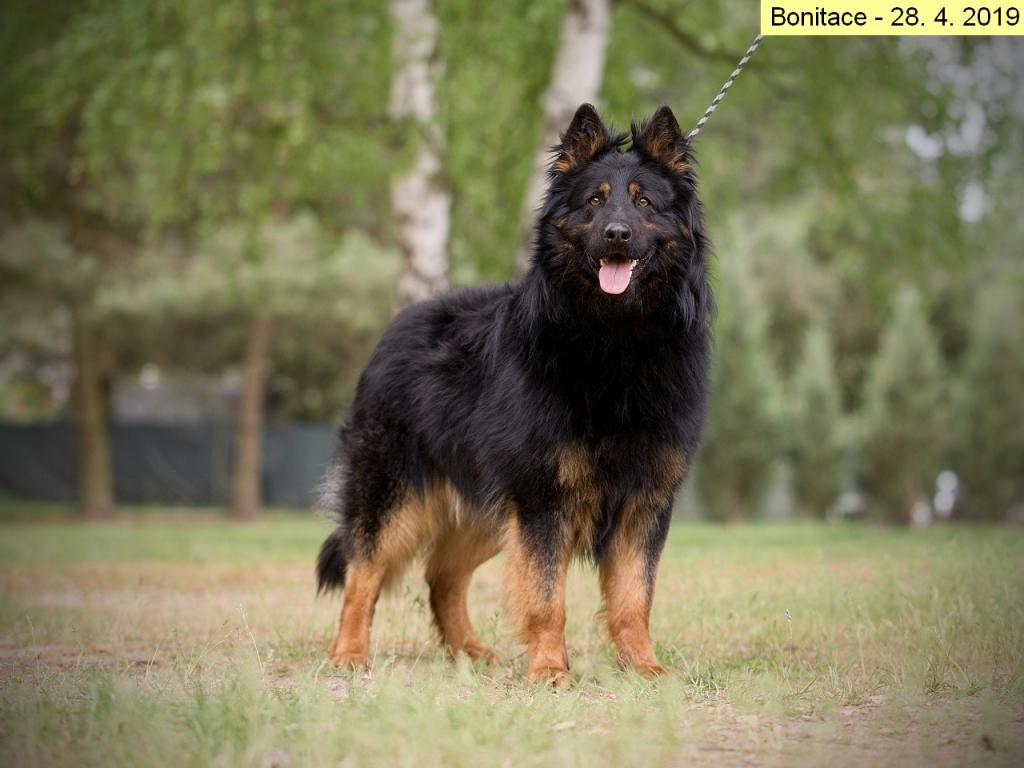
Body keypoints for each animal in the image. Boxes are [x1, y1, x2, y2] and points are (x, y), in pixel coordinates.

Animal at [316, 103, 712, 686]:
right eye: (595, 201)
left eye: (644, 203)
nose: (617, 235)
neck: (615, 339)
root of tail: (397, 327)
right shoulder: (542, 499)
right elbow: (546, 597)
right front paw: (549, 669)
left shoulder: (643, 505)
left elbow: (633, 597)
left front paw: (643, 666)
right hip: (396, 496)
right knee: (362, 572)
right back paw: (349, 653)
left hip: (489, 512)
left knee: (441, 576)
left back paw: (468, 653)